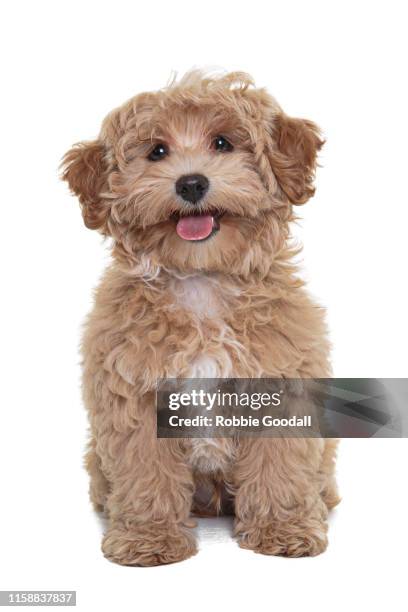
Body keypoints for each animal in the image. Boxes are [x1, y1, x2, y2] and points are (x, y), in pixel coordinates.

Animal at [62, 70, 340, 564]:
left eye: (223, 143)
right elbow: (146, 472)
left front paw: (283, 528)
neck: (202, 281)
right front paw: (149, 537)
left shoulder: (279, 389)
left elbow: (280, 465)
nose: (191, 184)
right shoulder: (137, 399)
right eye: (157, 151)